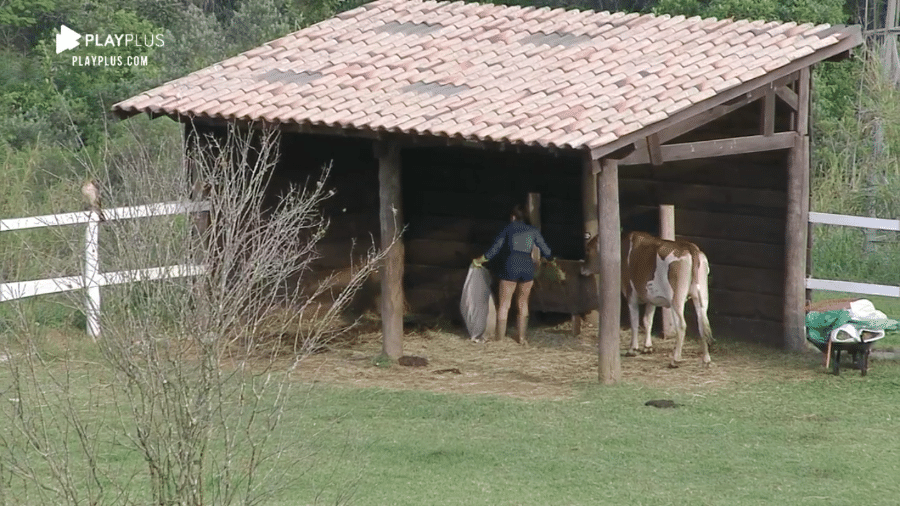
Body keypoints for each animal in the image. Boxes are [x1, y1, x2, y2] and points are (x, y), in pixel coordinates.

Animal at [584, 232, 712, 368]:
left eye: (588, 249)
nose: (582, 268)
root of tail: (690, 247)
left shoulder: (631, 295)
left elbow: (634, 322)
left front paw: (633, 349)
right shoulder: (651, 299)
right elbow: (647, 321)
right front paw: (647, 347)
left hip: (676, 298)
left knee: (682, 325)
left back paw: (675, 360)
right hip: (702, 296)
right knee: (703, 323)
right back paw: (706, 359)